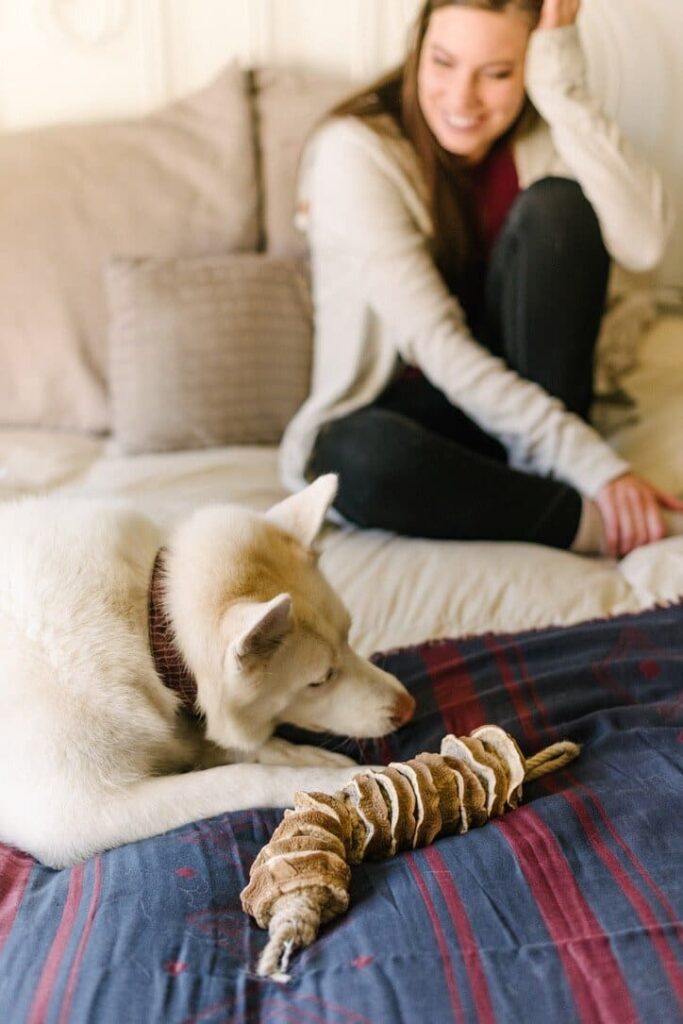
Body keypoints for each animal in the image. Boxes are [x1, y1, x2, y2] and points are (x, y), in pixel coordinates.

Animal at [0, 475, 411, 868]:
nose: (409, 707)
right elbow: (240, 777)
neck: (150, 625)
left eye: (349, 636)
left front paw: (302, 755)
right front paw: (326, 778)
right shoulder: (79, 815)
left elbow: (229, 746)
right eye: (320, 680)